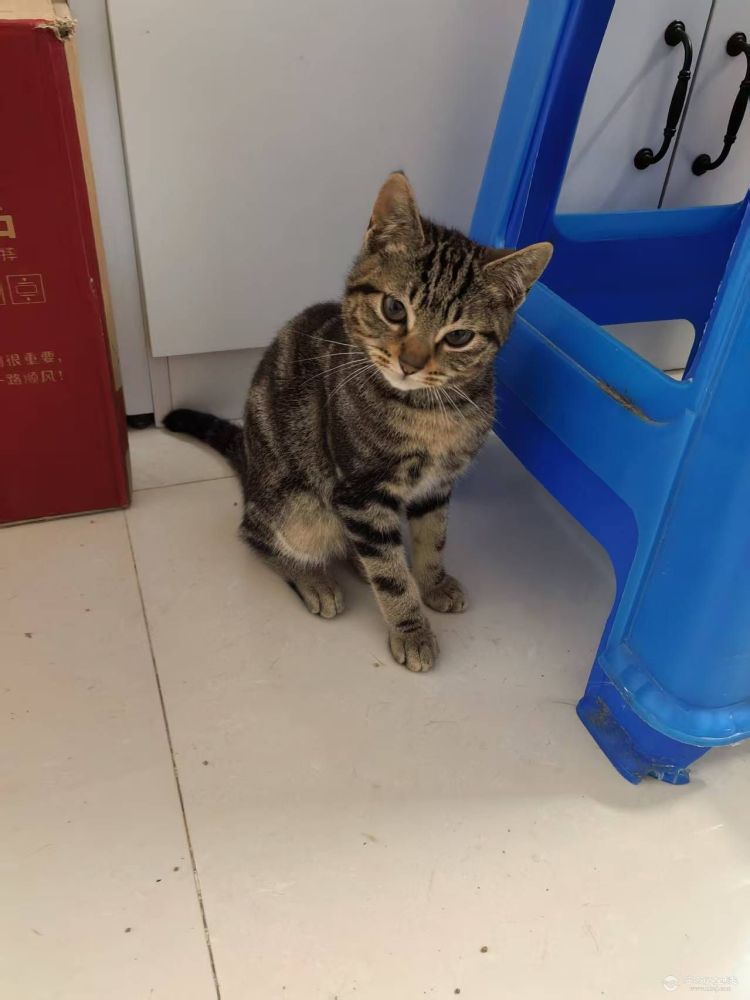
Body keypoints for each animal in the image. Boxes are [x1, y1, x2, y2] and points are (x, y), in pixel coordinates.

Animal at [164, 172, 552, 672]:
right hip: (301, 510)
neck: (430, 412)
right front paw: (410, 630)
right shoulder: (361, 492)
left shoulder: (436, 487)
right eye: (394, 309)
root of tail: (250, 469)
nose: (410, 363)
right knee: (257, 534)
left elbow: (433, 539)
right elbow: (391, 578)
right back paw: (314, 579)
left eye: (460, 337)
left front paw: (432, 582)